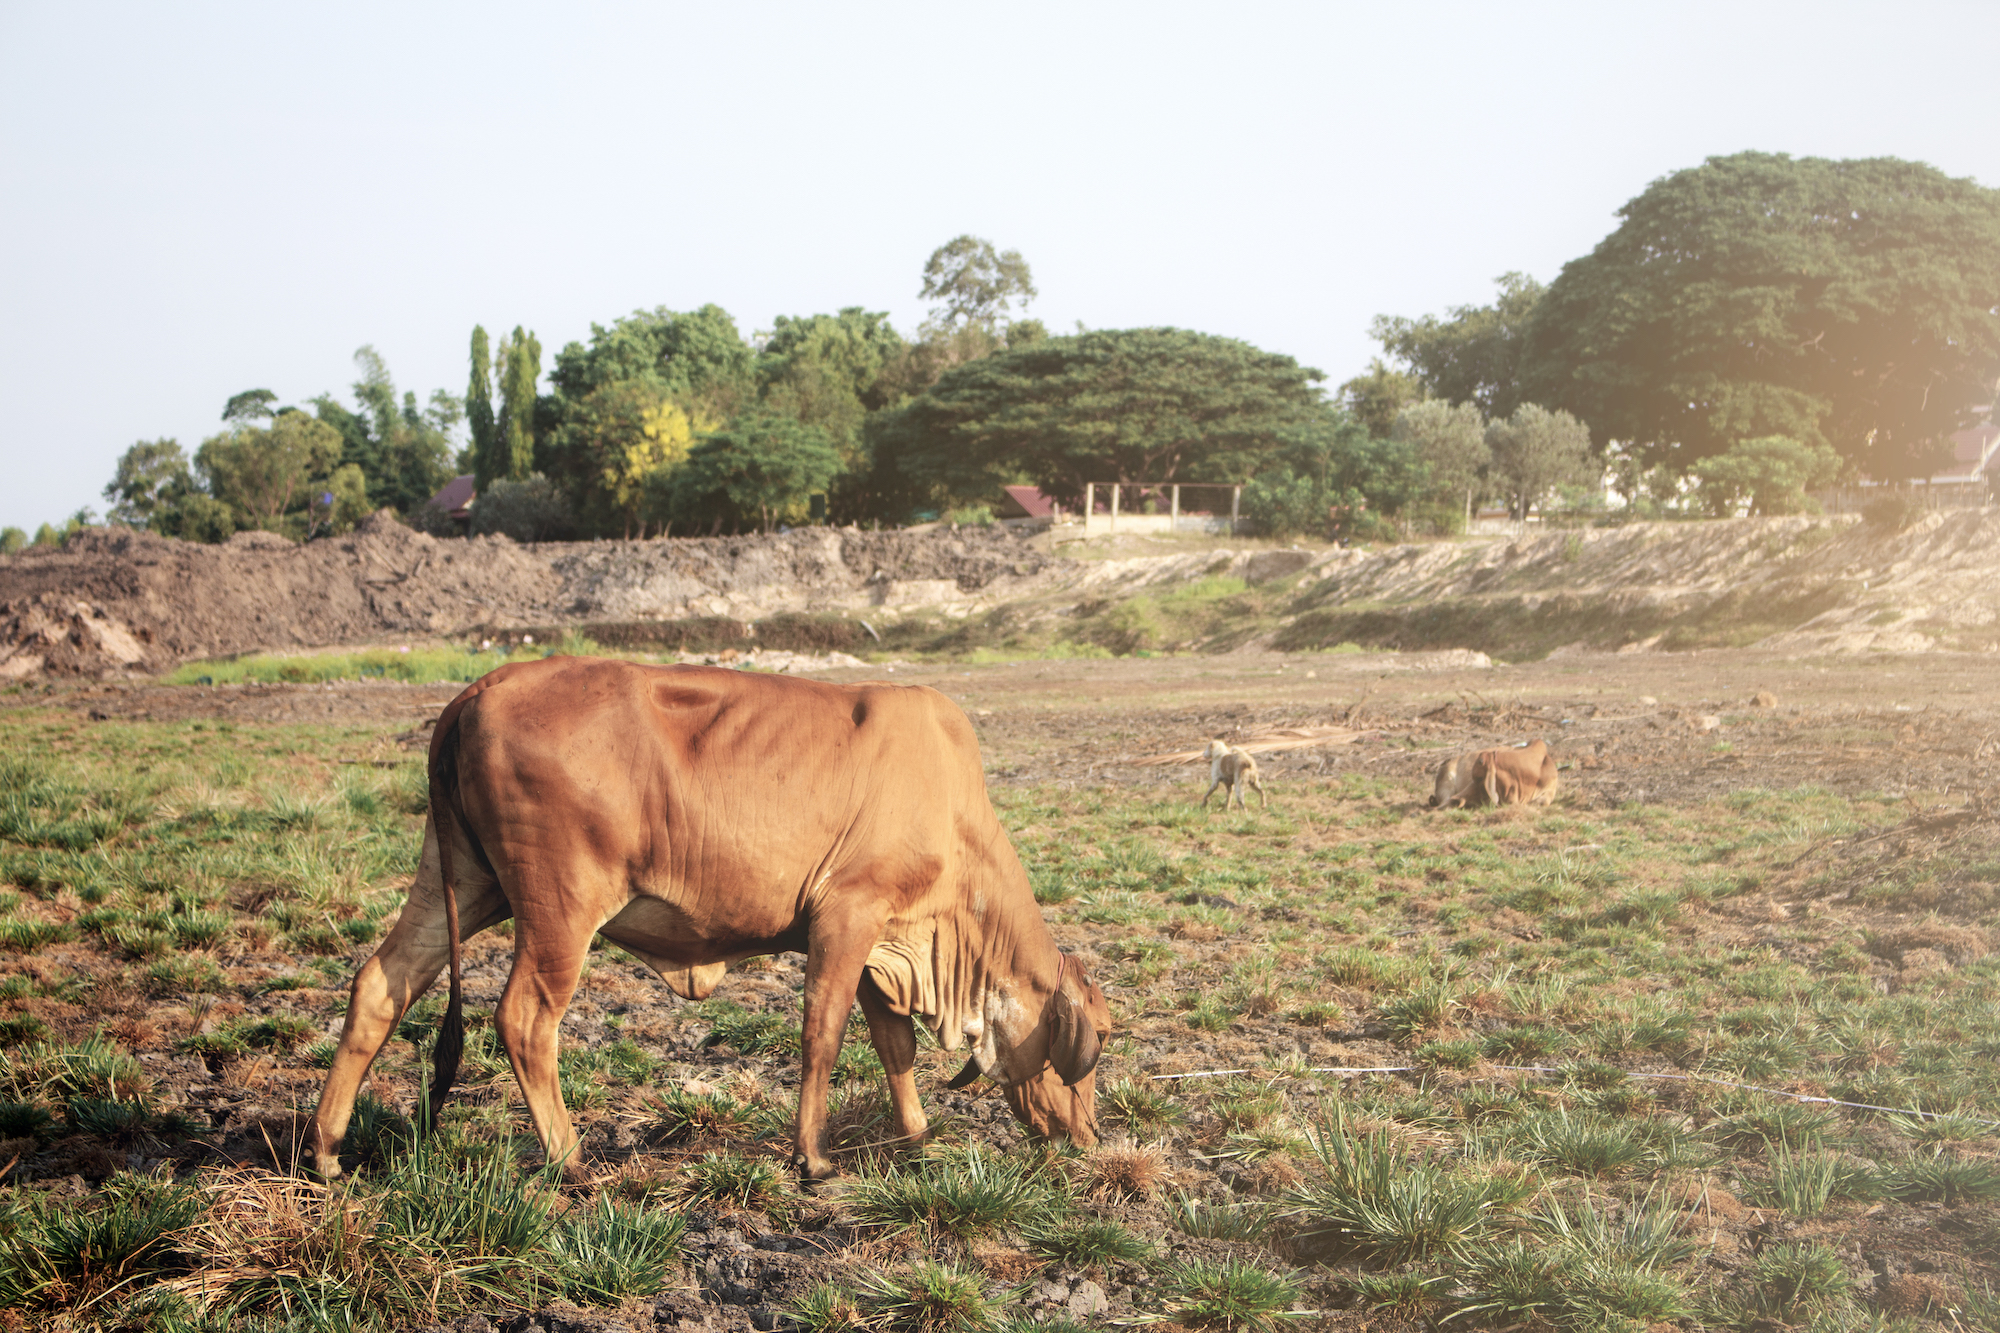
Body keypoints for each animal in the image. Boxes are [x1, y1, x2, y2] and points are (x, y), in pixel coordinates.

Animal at [308, 652, 1112, 1176]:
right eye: (1100, 1039)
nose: (1091, 1133)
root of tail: (477, 691)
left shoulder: (883, 945)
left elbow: (894, 1045)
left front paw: (914, 1134)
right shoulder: (848, 914)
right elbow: (823, 1036)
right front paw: (813, 1157)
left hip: (464, 880)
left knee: (380, 984)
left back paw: (326, 1150)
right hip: (558, 905)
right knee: (526, 1019)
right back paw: (570, 1160)